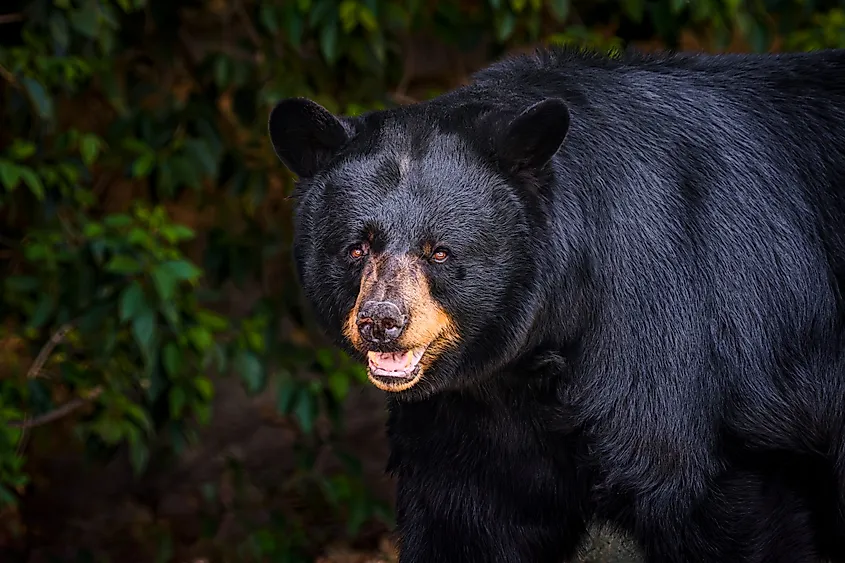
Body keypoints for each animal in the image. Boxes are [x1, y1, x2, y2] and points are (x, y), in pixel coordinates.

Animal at [268, 47, 845, 562]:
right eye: (356, 248)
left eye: (440, 251)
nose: (382, 322)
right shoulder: (464, 427)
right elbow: (464, 524)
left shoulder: (674, 351)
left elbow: (694, 483)